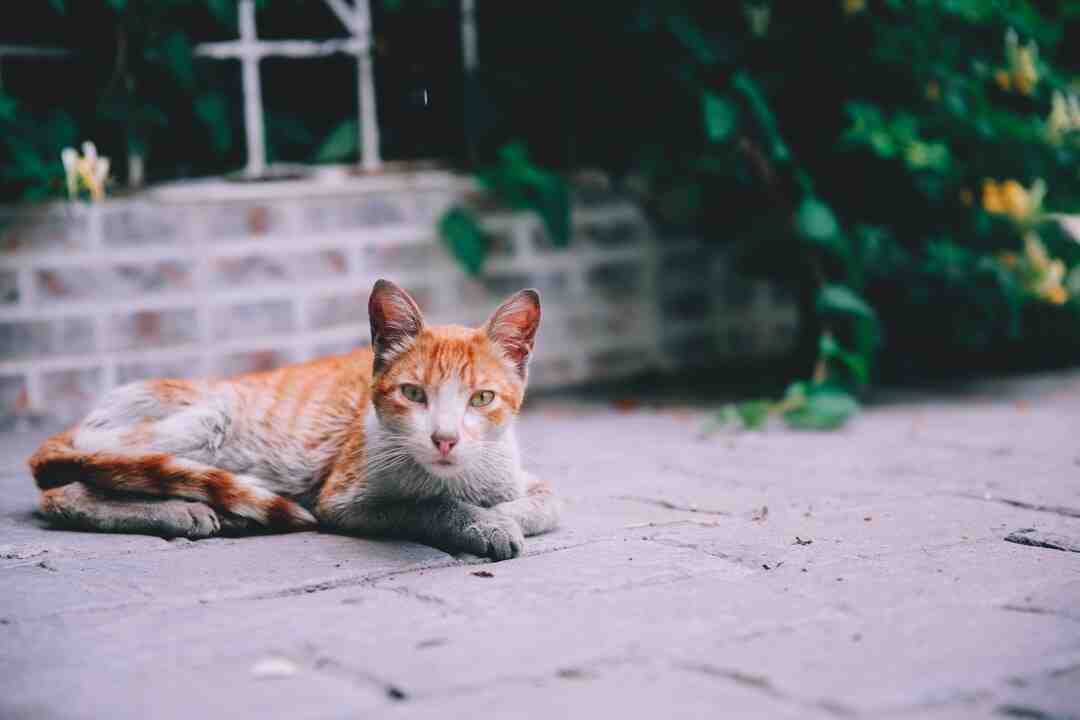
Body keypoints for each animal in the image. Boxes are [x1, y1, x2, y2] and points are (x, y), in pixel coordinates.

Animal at [29, 278, 561, 561]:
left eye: (482, 398)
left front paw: (497, 516)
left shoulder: (522, 477)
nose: (445, 439)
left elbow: (545, 505)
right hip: (204, 421)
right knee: (69, 488)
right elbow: (427, 506)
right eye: (413, 393)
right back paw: (181, 511)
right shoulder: (342, 502)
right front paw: (479, 522)